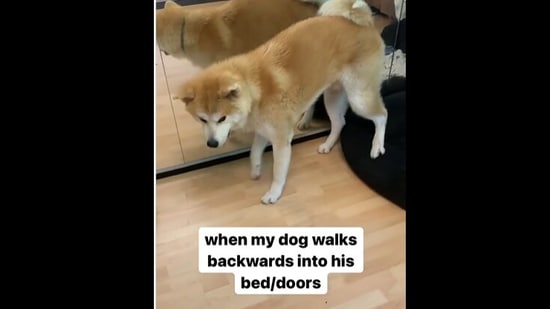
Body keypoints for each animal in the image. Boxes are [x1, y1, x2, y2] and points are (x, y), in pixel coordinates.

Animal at [177, 0, 388, 203]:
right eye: (202, 119)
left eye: (222, 118)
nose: (212, 144)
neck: (256, 90)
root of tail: (366, 24)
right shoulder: (263, 130)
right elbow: (254, 152)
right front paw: (255, 169)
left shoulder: (281, 139)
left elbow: (278, 172)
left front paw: (274, 193)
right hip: (333, 97)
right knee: (339, 123)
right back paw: (328, 145)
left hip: (359, 99)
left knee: (382, 116)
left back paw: (377, 145)